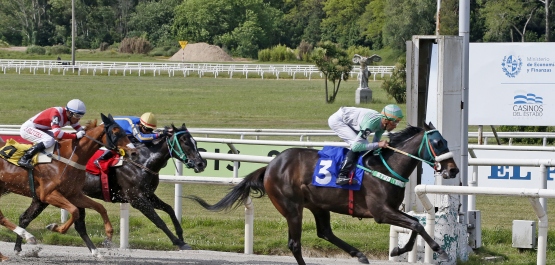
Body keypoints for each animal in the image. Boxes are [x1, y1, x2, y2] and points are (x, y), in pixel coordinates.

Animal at [0, 113, 136, 258]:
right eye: (115, 132)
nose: (133, 152)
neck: (70, 157)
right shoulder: (48, 194)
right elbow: (74, 211)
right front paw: (55, 227)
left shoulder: (73, 194)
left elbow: (99, 207)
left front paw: (108, 235)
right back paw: (26, 238)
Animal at [187, 123, 460, 264]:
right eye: (438, 143)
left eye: (446, 141)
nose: (453, 170)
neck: (385, 166)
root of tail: (271, 166)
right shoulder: (381, 212)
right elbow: (416, 224)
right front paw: (439, 249)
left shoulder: (391, 210)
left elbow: (414, 223)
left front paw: (397, 251)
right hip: (292, 207)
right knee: (295, 243)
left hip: (318, 205)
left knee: (325, 232)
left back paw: (359, 255)